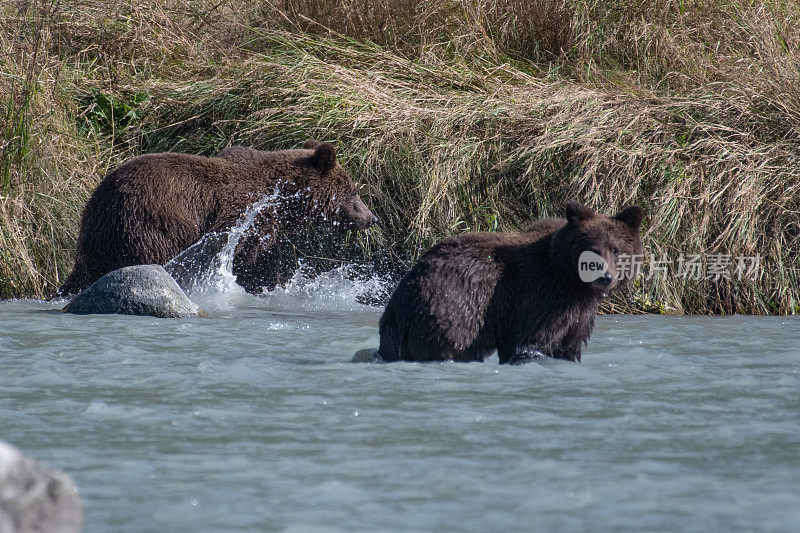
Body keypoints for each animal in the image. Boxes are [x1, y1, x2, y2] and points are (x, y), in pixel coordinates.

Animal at [57, 139, 376, 296]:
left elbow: (266, 258)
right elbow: (244, 257)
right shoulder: (243, 216)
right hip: (149, 220)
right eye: (353, 193)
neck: (281, 196)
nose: (371, 218)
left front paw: (274, 284)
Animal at [378, 202, 648, 364]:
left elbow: (570, 345)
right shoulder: (539, 297)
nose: (605, 277)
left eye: (616, 250)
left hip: (398, 326)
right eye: (591, 249)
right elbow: (530, 342)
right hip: (455, 307)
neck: (571, 281)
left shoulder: (577, 313)